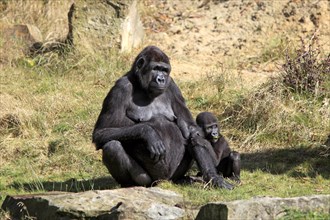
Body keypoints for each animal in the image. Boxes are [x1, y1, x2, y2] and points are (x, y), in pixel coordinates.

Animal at [92, 46, 232, 189]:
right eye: (155, 68)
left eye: (164, 70)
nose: (161, 79)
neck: (141, 85)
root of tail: (163, 181)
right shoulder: (120, 88)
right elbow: (101, 132)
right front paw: (148, 133)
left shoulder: (172, 85)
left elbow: (191, 130)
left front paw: (213, 177)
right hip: (151, 180)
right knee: (112, 147)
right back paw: (130, 185)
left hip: (174, 175)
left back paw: (184, 179)